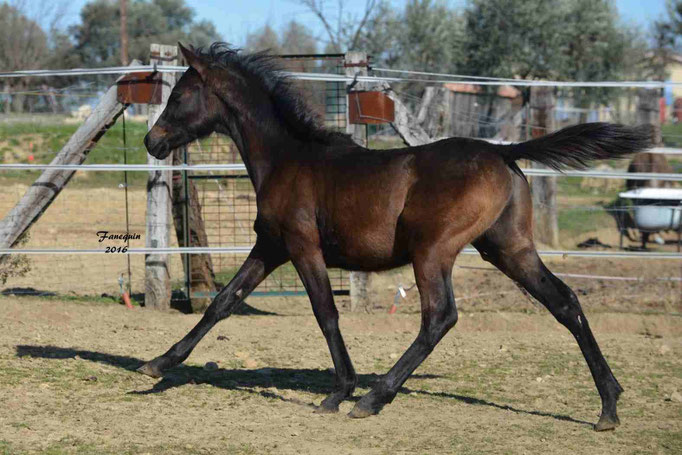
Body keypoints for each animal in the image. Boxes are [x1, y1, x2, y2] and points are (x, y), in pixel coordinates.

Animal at [138, 42, 648, 432]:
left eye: (179, 95)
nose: (150, 142)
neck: (287, 158)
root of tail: (503, 152)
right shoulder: (270, 247)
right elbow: (223, 302)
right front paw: (158, 364)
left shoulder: (303, 248)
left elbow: (326, 314)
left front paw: (340, 393)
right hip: (509, 249)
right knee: (565, 302)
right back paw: (609, 405)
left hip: (433, 251)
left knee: (439, 317)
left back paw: (374, 397)